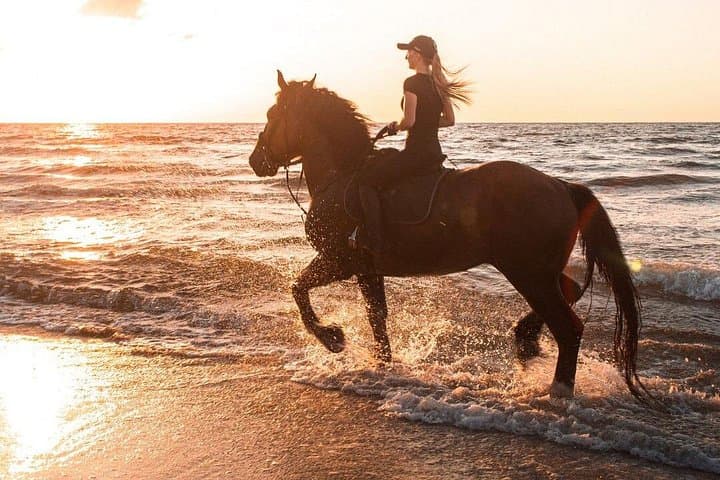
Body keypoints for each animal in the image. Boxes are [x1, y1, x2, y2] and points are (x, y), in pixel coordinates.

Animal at [248, 70, 649, 402]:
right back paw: (526, 341)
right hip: (541, 271)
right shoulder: (367, 269)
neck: (341, 175)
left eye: (271, 115)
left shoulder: (339, 261)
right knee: (571, 289)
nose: (256, 161)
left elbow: (299, 291)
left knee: (568, 327)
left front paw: (333, 338)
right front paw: (382, 365)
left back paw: (557, 391)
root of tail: (562, 186)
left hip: (527, 272)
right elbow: (376, 317)